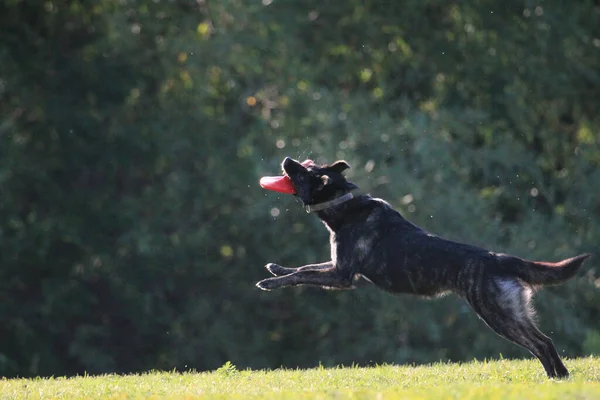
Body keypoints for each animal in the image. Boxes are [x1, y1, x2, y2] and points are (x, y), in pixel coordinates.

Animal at [256, 156, 592, 378]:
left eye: (304, 172)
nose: (287, 158)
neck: (345, 204)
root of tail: (497, 258)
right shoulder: (337, 266)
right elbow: (303, 268)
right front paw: (275, 268)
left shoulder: (342, 275)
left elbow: (305, 274)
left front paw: (269, 283)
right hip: (512, 312)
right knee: (544, 341)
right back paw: (559, 377)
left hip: (497, 314)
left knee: (540, 343)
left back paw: (555, 377)